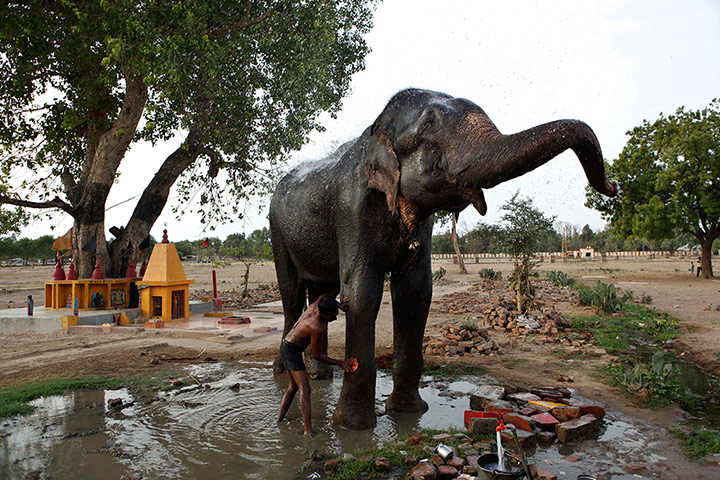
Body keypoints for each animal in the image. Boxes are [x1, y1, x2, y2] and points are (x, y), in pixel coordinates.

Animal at [268, 88, 617, 430]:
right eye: (429, 124)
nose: (612, 185)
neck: (376, 129)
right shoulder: (351, 207)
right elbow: (362, 290)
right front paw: (353, 428)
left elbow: (416, 291)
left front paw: (409, 413)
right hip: (276, 230)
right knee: (292, 295)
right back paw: (281, 372)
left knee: (320, 292)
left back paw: (318, 375)